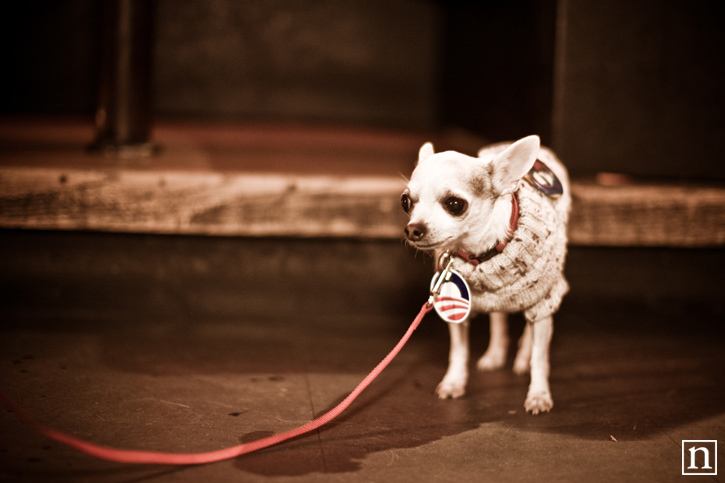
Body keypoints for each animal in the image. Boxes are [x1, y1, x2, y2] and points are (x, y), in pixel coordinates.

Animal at [398, 134, 568, 414]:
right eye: (405, 202)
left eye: (455, 204)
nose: (413, 229)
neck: (480, 254)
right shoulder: (456, 310)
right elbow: (458, 352)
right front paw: (454, 382)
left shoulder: (543, 302)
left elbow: (540, 357)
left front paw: (539, 394)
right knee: (498, 318)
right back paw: (495, 354)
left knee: (529, 330)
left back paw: (522, 358)